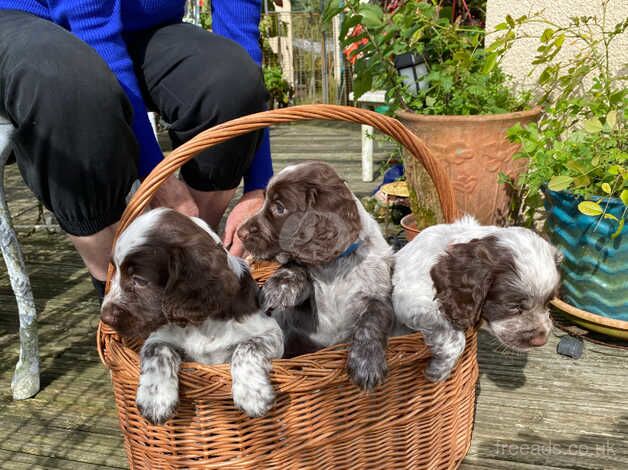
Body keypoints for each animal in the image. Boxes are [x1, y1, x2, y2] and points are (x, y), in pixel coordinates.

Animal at [100, 207, 282, 424]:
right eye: (115, 272)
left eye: (140, 280)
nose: (104, 317)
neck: (200, 324)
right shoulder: (158, 336)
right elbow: (156, 351)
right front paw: (155, 399)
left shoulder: (271, 332)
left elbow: (247, 346)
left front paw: (252, 394)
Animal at [238, 160, 394, 392]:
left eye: (279, 208)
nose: (240, 233)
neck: (334, 265)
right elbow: (296, 266)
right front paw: (278, 287)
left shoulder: (379, 294)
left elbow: (371, 321)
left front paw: (366, 363)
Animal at [394, 217, 560, 382]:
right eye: (513, 306)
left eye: (548, 303)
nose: (541, 341)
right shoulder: (411, 302)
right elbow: (455, 337)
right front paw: (438, 371)